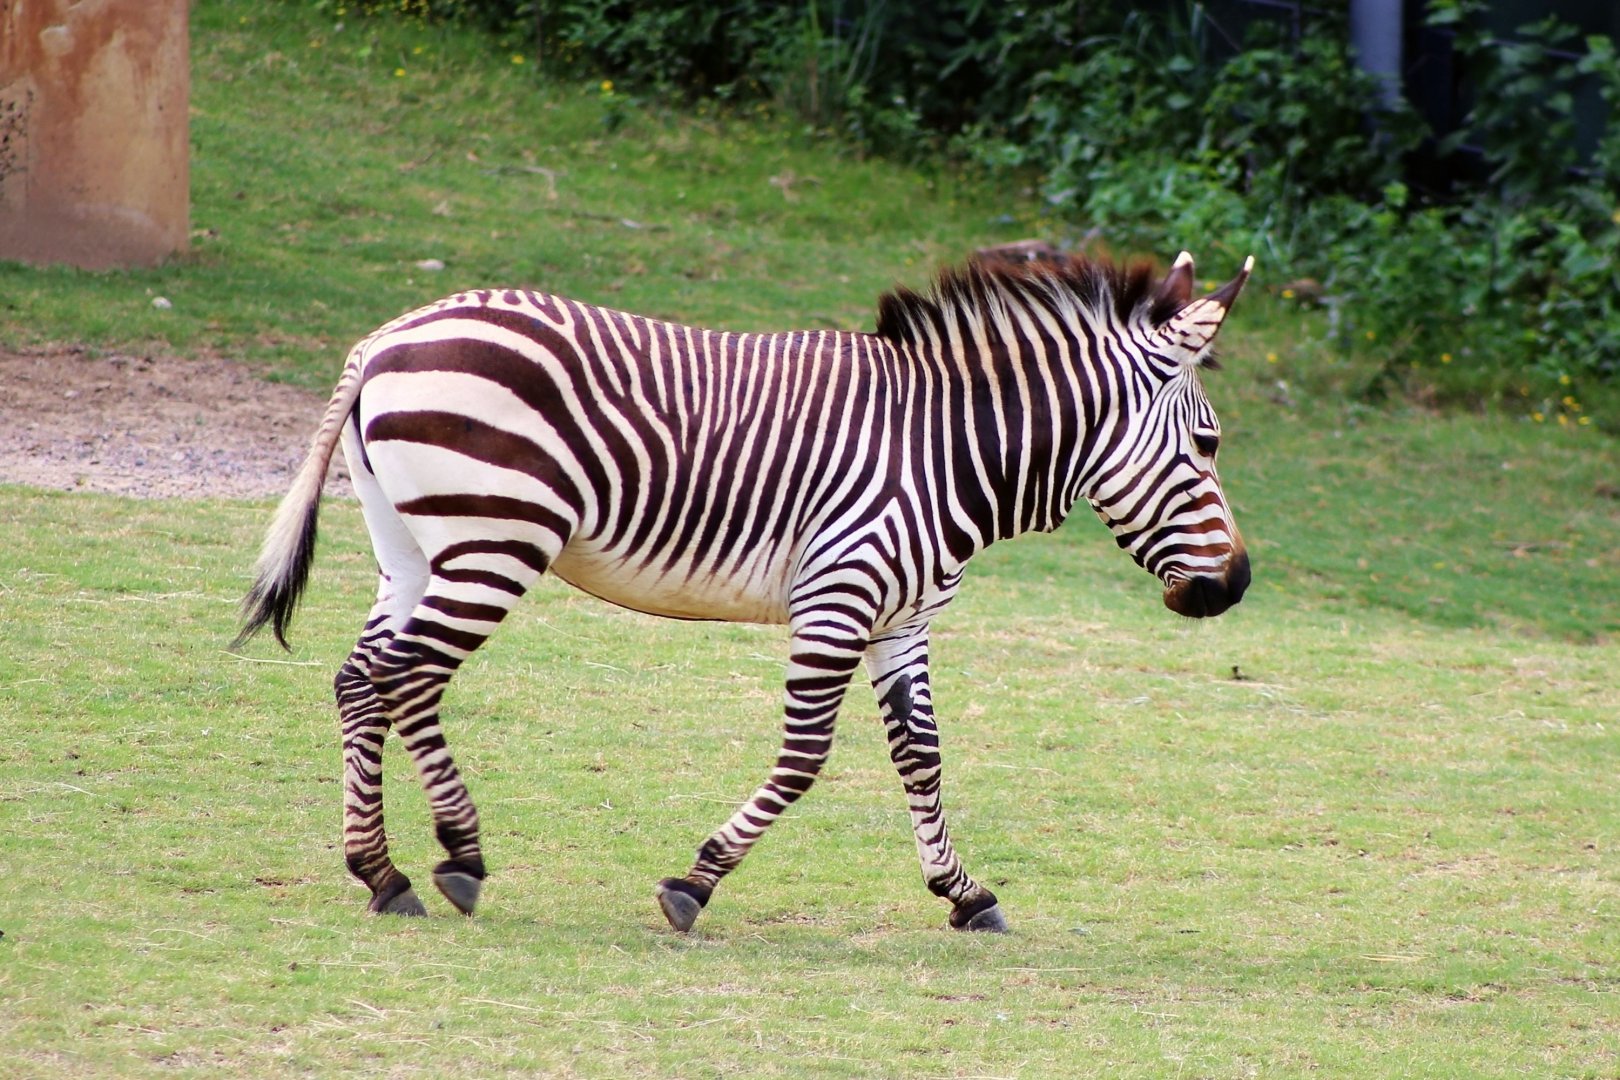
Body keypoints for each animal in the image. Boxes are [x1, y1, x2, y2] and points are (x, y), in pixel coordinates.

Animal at [237, 249, 1252, 934]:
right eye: (1207, 444)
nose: (1237, 586)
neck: (950, 449)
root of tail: (385, 338)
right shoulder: (840, 593)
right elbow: (804, 759)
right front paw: (695, 882)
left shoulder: (904, 618)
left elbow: (922, 756)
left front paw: (964, 895)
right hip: (497, 539)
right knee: (402, 679)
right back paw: (447, 858)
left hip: (415, 549)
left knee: (364, 681)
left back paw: (387, 872)